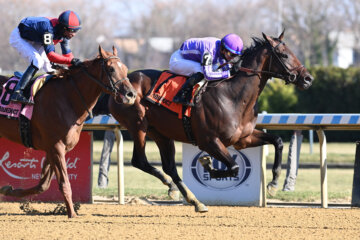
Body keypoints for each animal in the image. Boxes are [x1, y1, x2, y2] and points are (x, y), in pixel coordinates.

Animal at [0, 45, 137, 218]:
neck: (68, 99)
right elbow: (64, 183)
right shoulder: (56, 147)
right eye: (111, 69)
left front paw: (8, 190)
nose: (131, 95)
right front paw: (72, 214)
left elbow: (43, 185)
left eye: (125, 68)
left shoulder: (53, 149)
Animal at [105, 31, 314, 212]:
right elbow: (234, 167)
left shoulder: (242, 139)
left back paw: (191, 199)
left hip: (161, 133)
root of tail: (120, 85)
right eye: (283, 55)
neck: (232, 96)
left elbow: (277, 141)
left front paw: (273, 183)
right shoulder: (209, 141)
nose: (308, 78)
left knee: (169, 166)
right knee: (139, 160)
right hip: (139, 125)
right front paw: (207, 164)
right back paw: (175, 188)